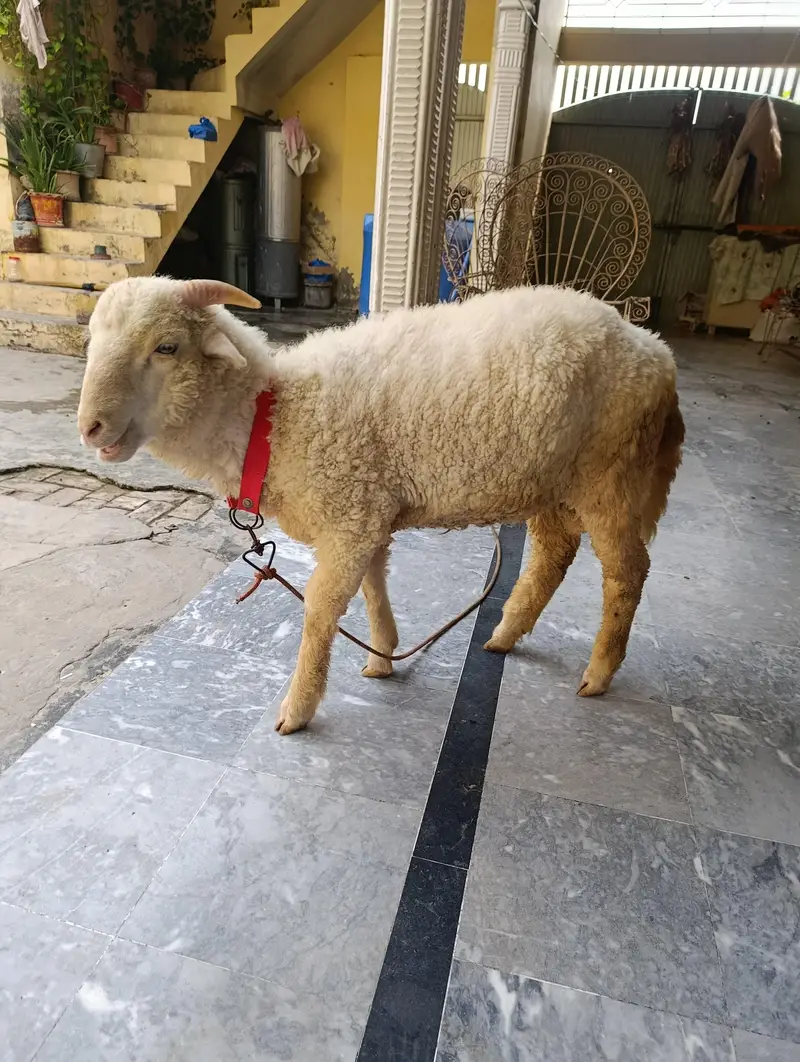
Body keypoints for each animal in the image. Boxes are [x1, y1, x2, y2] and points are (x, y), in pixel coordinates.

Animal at [77, 278, 684, 735]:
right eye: (91, 342)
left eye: (166, 347)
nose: (90, 428)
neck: (273, 417)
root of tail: (654, 349)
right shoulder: (365, 508)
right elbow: (373, 583)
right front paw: (383, 655)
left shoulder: (349, 514)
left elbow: (320, 610)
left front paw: (297, 709)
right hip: (553, 481)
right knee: (554, 555)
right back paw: (505, 635)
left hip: (611, 475)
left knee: (627, 572)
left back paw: (599, 672)